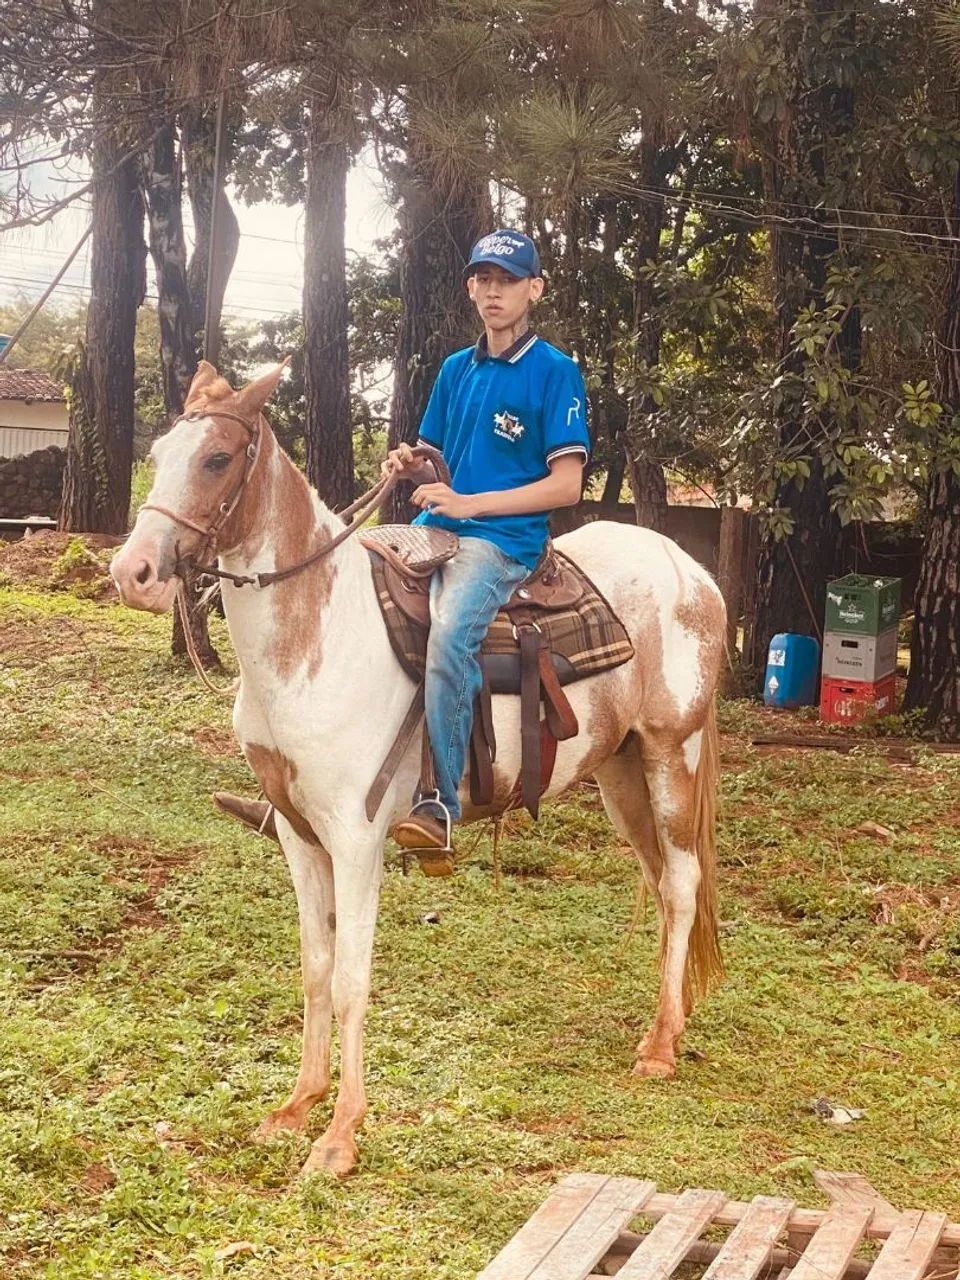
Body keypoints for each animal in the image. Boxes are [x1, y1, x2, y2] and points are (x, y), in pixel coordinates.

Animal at [110, 360, 727, 1178]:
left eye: (215, 459)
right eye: (157, 450)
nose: (133, 573)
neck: (315, 636)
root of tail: (693, 572)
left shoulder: (357, 838)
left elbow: (350, 978)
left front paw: (340, 1135)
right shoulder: (300, 839)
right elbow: (314, 967)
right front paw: (295, 1108)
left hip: (669, 752)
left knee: (683, 884)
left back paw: (659, 1049)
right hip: (621, 772)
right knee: (660, 886)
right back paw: (671, 1024)